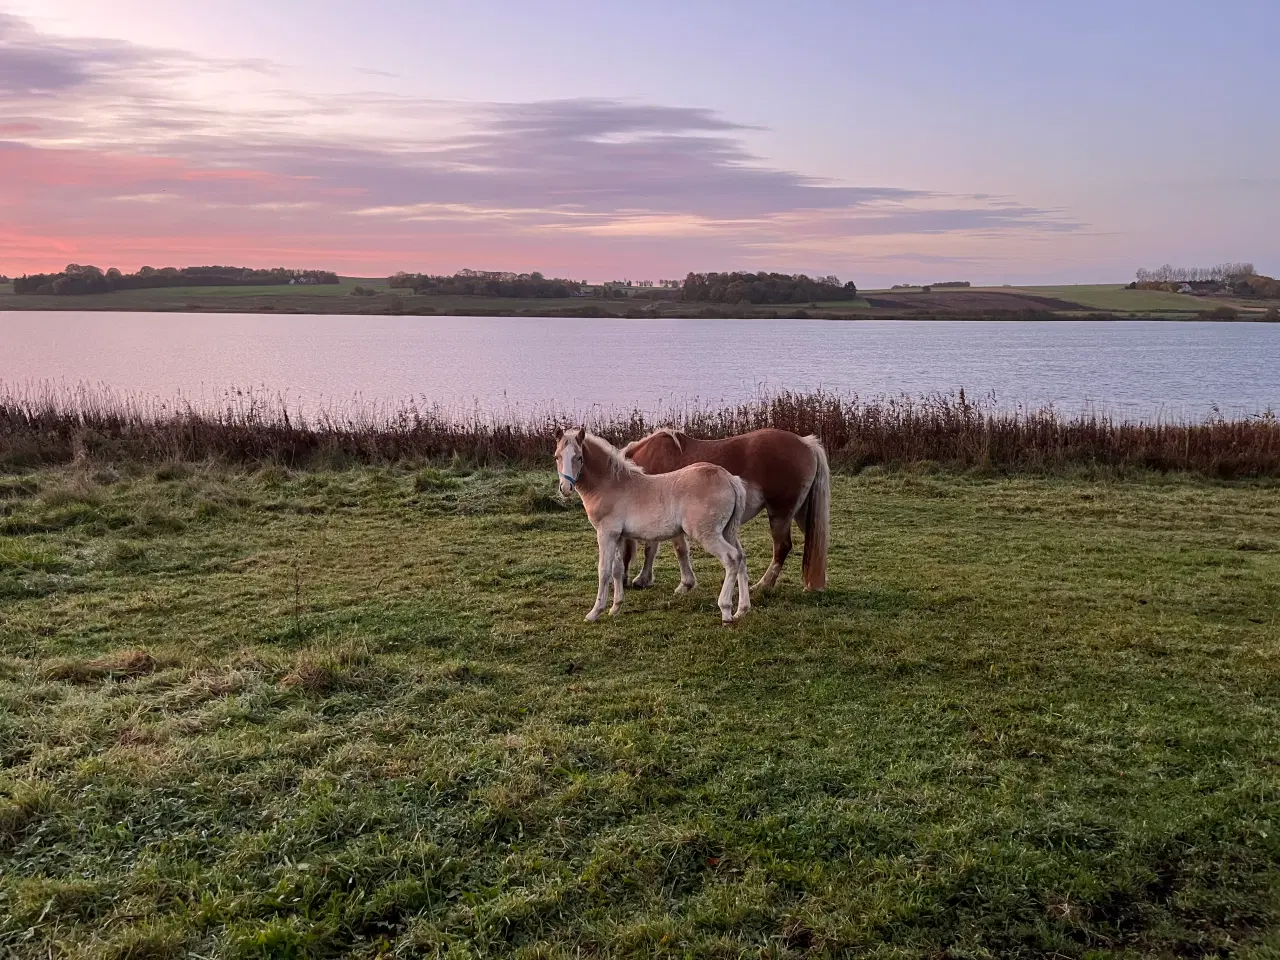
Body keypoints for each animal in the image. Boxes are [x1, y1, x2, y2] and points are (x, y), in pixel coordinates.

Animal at [558, 430, 752, 627]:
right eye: (557, 456)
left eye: (579, 457)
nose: (565, 488)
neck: (610, 484)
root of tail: (729, 478)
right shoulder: (618, 536)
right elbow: (617, 569)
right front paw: (615, 608)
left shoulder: (606, 533)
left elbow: (603, 570)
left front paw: (595, 612)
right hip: (727, 531)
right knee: (741, 558)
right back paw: (741, 610)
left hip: (708, 534)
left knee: (732, 558)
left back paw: (726, 611)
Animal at [619, 430, 829, 593]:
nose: (622, 582)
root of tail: (806, 443)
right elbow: (652, 548)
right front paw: (644, 579)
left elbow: (679, 550)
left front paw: (684, 584)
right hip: (801, 514)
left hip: (780, 514)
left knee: (782, 547)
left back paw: (763, 585)